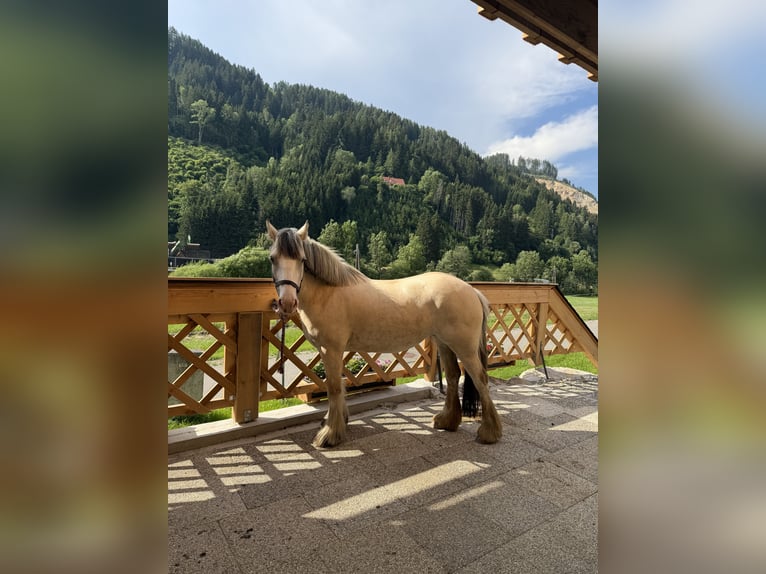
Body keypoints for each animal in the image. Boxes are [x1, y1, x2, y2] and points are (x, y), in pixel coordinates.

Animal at [266, 221, 502, 448]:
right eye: (272, 258)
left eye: (302, 259)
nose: (287, 302)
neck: (329, 292)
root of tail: (472, 291)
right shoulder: (335, 351)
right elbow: (340, 386)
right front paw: (338, 423)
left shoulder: (330, 349)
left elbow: (333, 388)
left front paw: (330, 435)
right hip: (444, 343)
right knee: (453, 376)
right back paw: (447, 421)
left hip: (464, 347)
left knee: (480, 378)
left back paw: (489, 433)